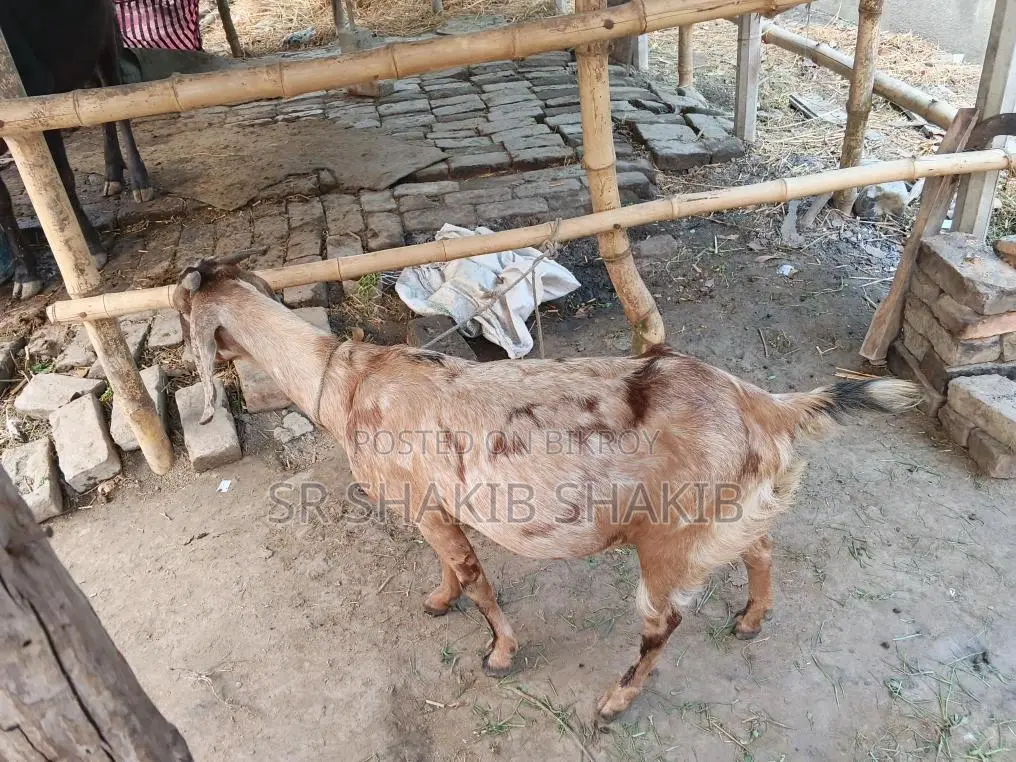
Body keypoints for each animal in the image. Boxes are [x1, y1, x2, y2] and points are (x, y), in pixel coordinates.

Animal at [0, 0, 153, 299]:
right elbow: (2, 203)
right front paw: (25, 275)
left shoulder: (35, 97)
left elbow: (60, 179)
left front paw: (91, 250)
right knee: (97, 104)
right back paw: (113, 174)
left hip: (106, 34)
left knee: (117, 99)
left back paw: (138, 179)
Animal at [172, 254, 920, 721]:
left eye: (181, 314)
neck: (349, 383)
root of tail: (762, 404)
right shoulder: (433, 505)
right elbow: (449, 569)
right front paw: (436, 601)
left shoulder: (425, 501)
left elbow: (476, 577)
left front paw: (500, 654)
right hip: (730, 509)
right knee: (761, 546)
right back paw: (751, 619)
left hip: (669, 536)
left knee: (665, 621)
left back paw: (615, 702)